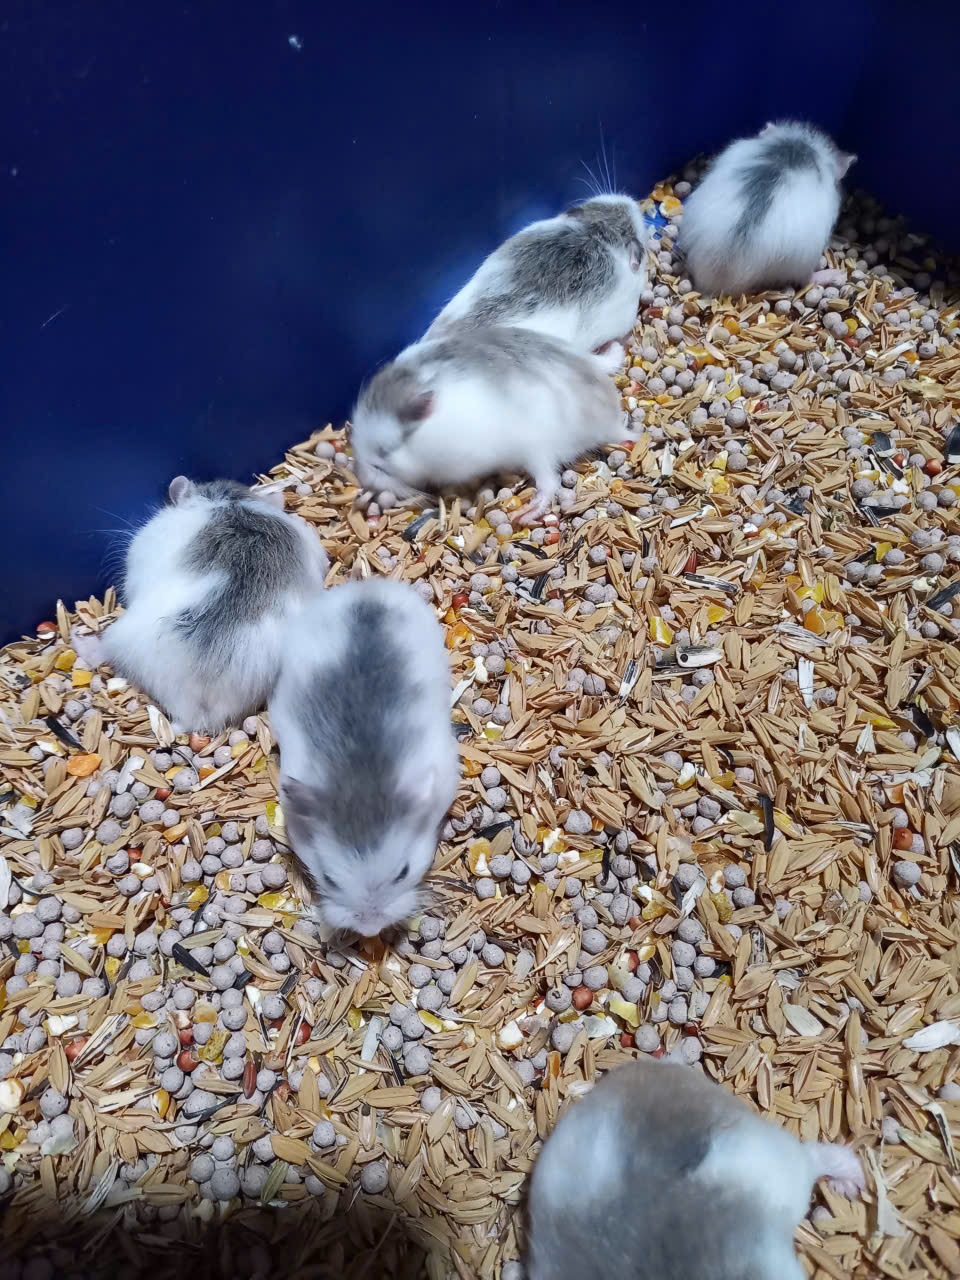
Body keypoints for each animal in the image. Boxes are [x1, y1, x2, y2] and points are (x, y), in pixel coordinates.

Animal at [351, 325, 635, 524]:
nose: (364, 479)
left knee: (549, 483)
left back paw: (526, 514)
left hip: (537, 449)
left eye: (384, 451)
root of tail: (612, 421)